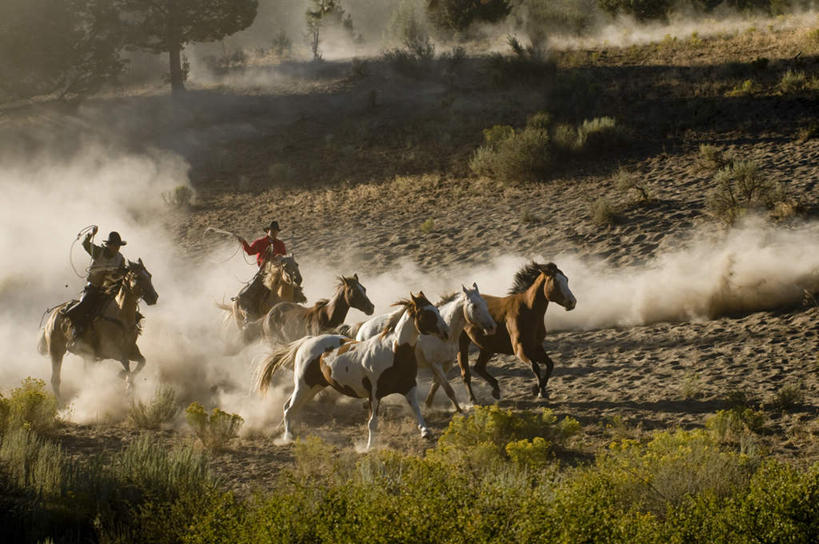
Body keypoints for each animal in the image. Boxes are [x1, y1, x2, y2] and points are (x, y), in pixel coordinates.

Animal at [36, 260, 159, 404]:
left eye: (149, 275)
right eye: (137, 277)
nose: (154, 297)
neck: (120, 315)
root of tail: (52, 317)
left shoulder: (132, 350)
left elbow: (141, 362)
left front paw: (127, 382)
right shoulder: (111, 351)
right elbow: (126, 364)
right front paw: (125, 381)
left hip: (88, 356)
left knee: (86, 376)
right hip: (56, 352)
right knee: (55, 380)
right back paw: (62, 405)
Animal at [258, 294, 452, 450]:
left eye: (437, 310)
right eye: (427, 313)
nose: (447, 333)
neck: (394, 351)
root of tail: (307, 342)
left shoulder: (409, 386)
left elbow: (417, 410)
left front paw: (426, 432)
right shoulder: (374, 394)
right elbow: (372, 423)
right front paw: (368, 447)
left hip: (314, 387)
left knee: (289, 407)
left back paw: (289, 433)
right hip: (303, 385)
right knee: (289, 409)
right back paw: (287, 438)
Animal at [356, 284, 496, 412]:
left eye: (485, 303)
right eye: (474, 306)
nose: (492, 327)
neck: (446, 335)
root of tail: (361, 330)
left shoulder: (447, 363)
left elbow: (436, 385)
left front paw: (428, 404)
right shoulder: (435, 363)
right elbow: (448, 389)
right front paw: (459, 410)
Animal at [458, 262, 580, 406]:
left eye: (566, 279)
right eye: (555, 281)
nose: (572, 302)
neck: (528, 310)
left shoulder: (536, 346)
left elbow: (550, 364)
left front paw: (539, 389)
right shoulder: (520, 349)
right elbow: (535, 366)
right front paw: (540, 391)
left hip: (487, 347)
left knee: (479, 367)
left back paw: (496, 390)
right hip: (462, 344)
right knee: (466, 373)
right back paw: (473, 400)